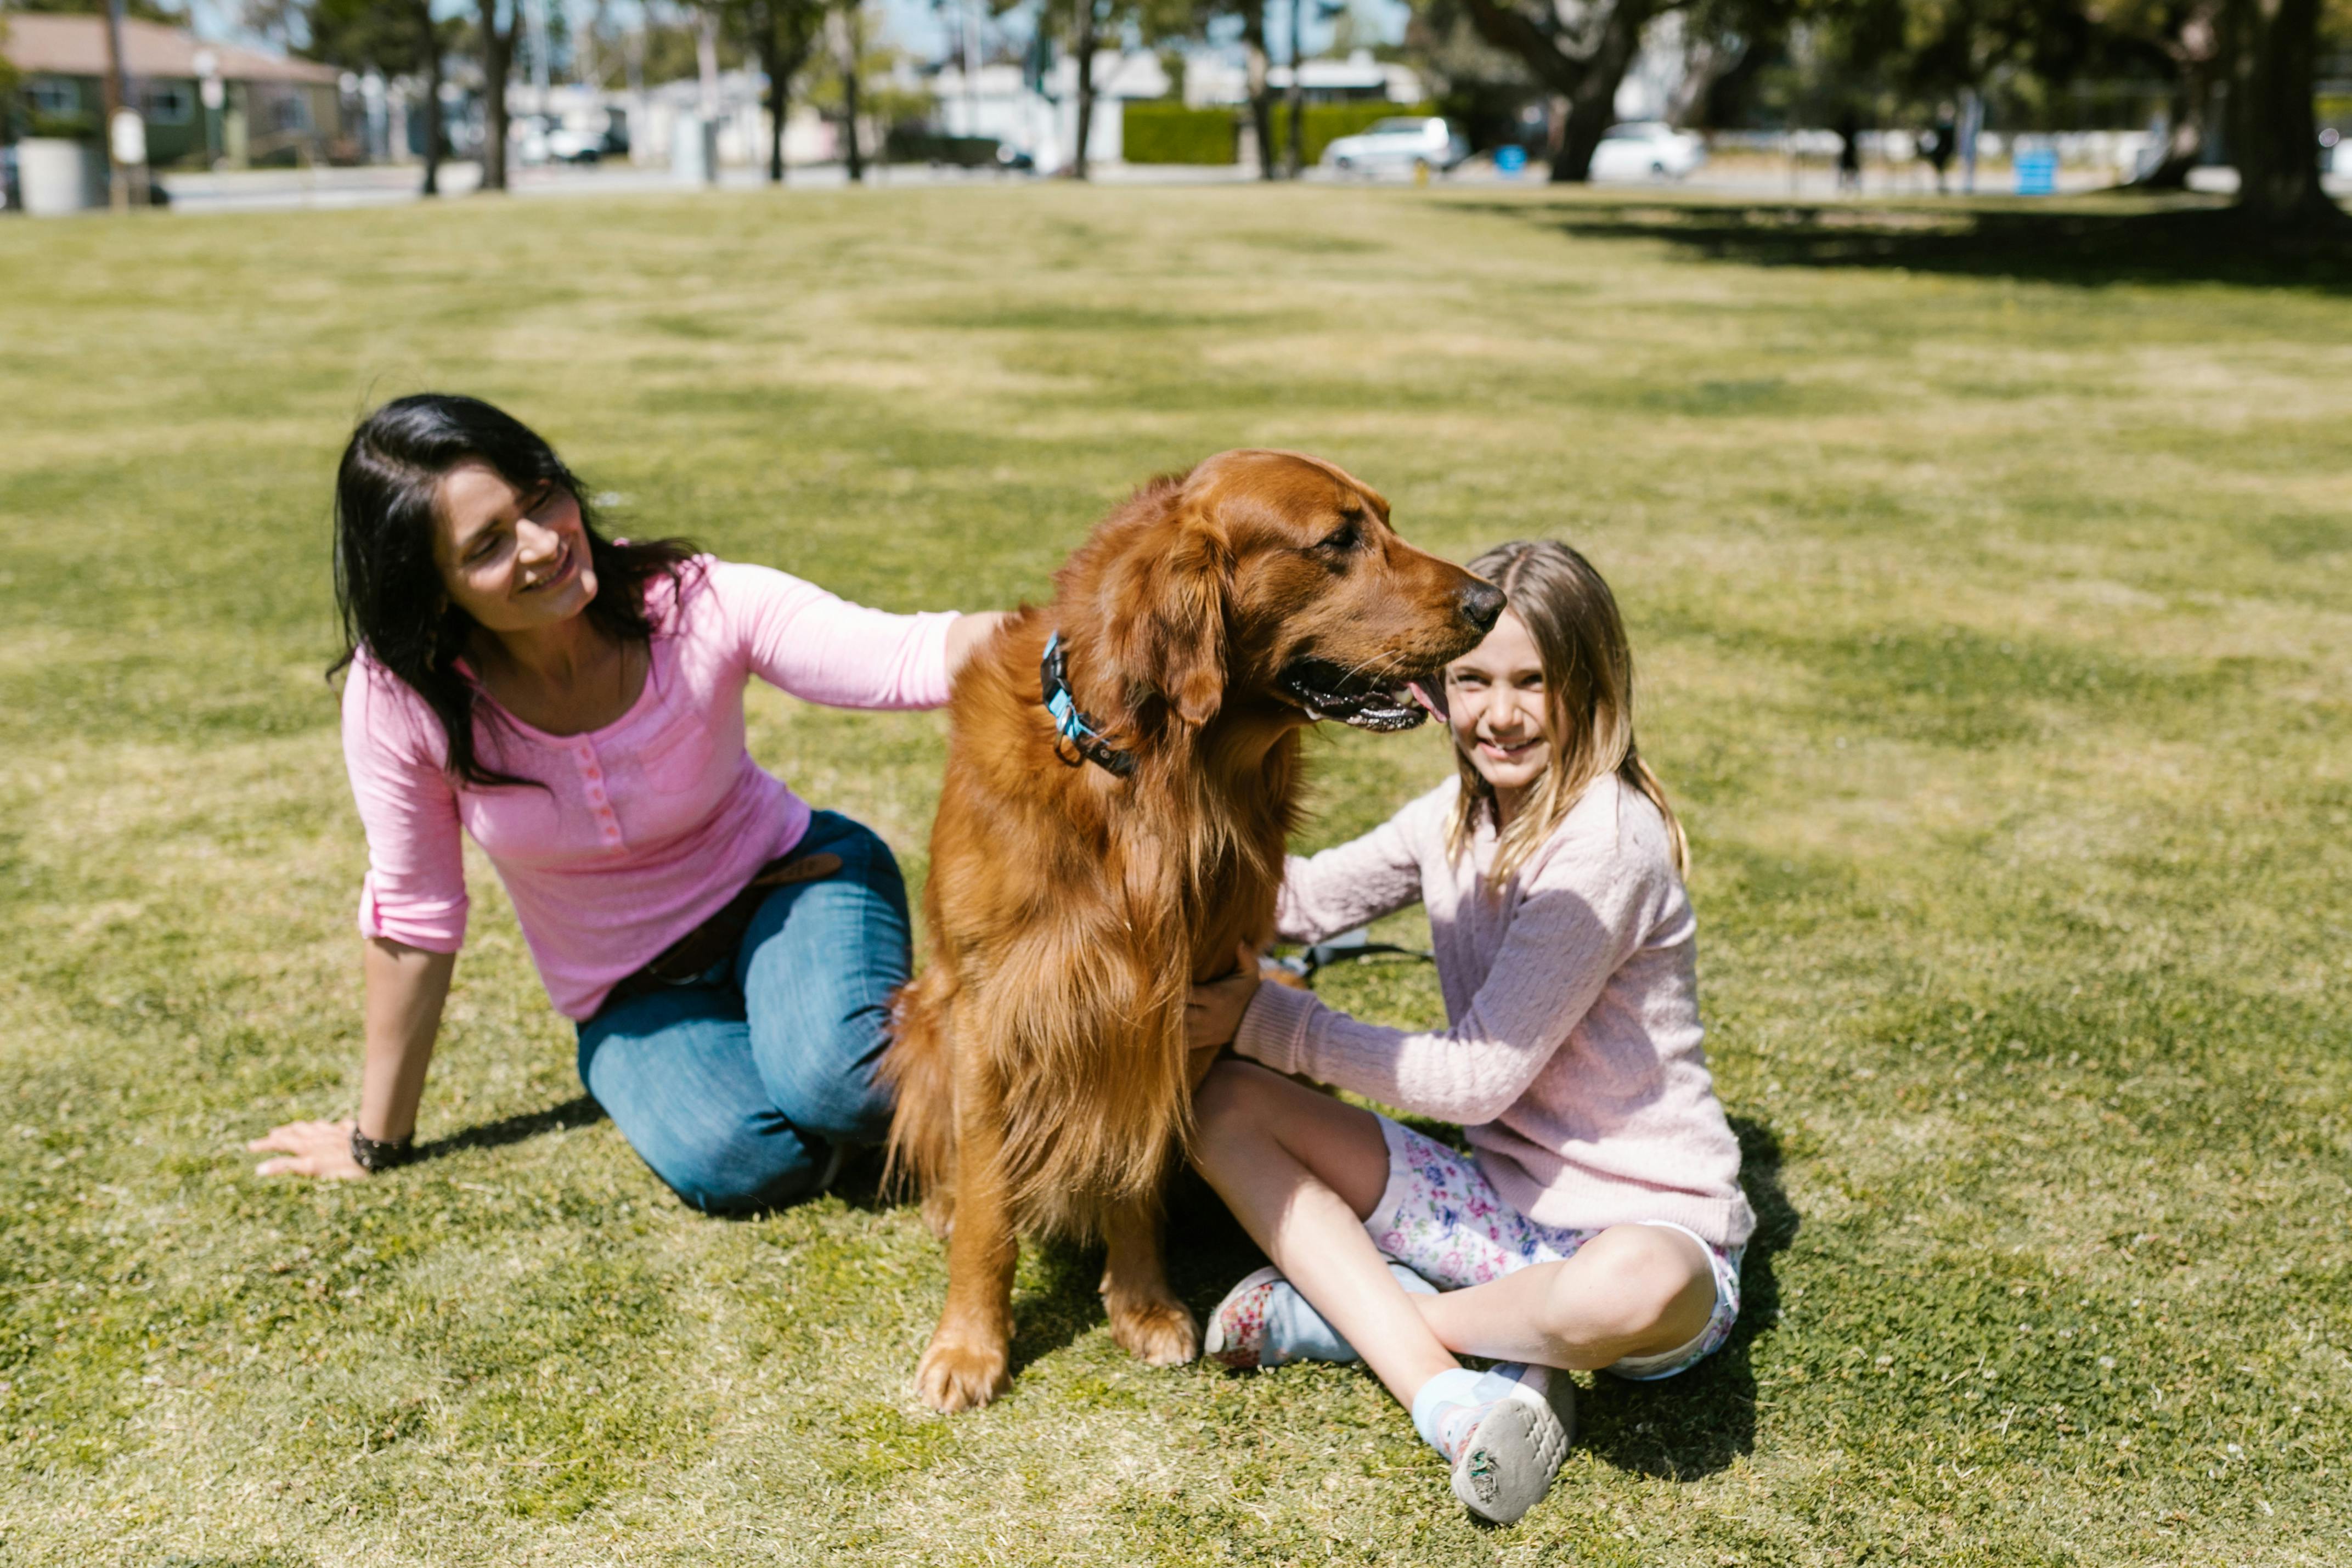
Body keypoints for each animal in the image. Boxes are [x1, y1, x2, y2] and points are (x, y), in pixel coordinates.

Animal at [884, 447, 1505, 1420]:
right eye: (1338, 540)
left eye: (1386, 521)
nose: (1492, 600)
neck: (1147, 774)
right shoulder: (993, 1009)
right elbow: (990, 1205)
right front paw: (969, 1346)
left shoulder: (1178, 999)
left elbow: (1134, 1170)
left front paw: (1142, 1304)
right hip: (922, 1012)